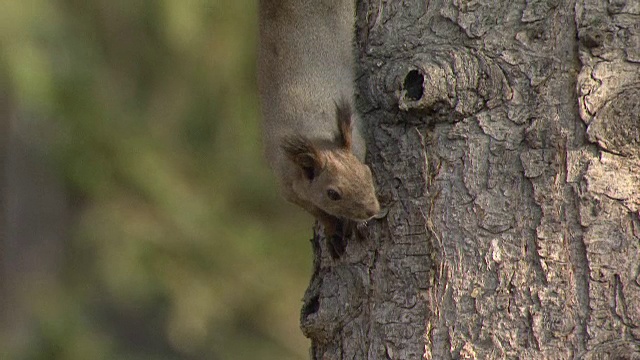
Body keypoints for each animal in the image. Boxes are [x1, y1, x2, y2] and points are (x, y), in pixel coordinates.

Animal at [258, 0, 382, 238]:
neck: (317, 139)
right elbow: (318, 212)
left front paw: (355, 224)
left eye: (367, 171)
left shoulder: (358, 144)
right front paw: (333, 230)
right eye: (333, 194)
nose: (372, 210)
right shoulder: (288, 187)